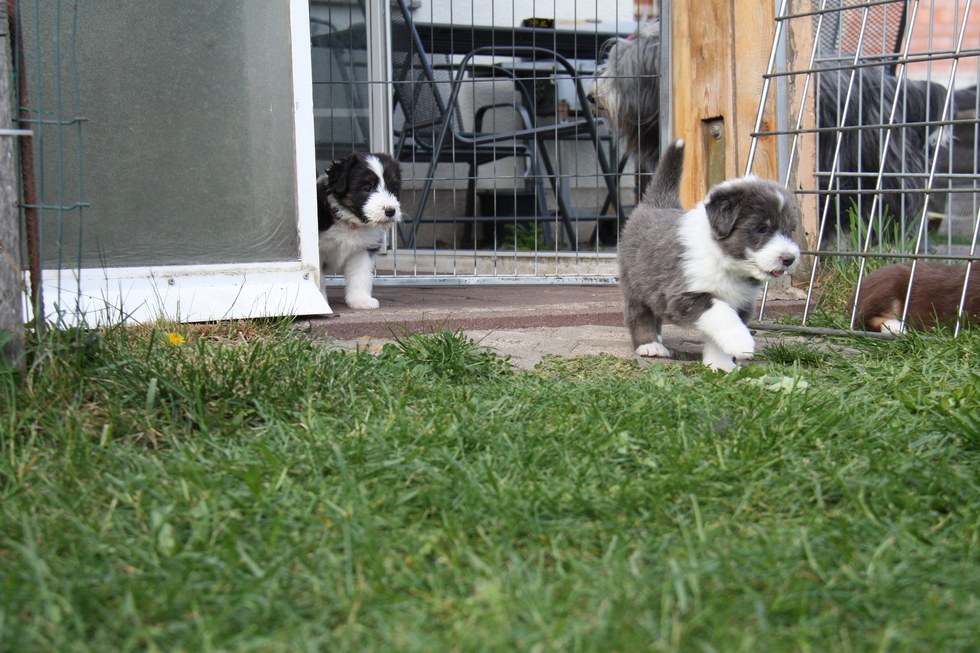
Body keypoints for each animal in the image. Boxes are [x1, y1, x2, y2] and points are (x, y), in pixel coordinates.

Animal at [317, 152, 402, 309]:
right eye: (367, 188)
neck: (350, 224)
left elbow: (360, 275)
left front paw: (361, 300)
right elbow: (318, 279)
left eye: (393, 189)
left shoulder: (362, 250)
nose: (390, 211)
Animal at [618, 140, 801, 371]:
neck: (723, 261)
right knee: (640, 315)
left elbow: (718, 337)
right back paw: (650, 345)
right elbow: (721, 313)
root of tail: (657, 204)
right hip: (635, 285)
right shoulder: (685, 294)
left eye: (790, 230)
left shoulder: (741, 302)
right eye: (761, 229)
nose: (789, 259)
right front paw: (741, 342)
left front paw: (721, 366)